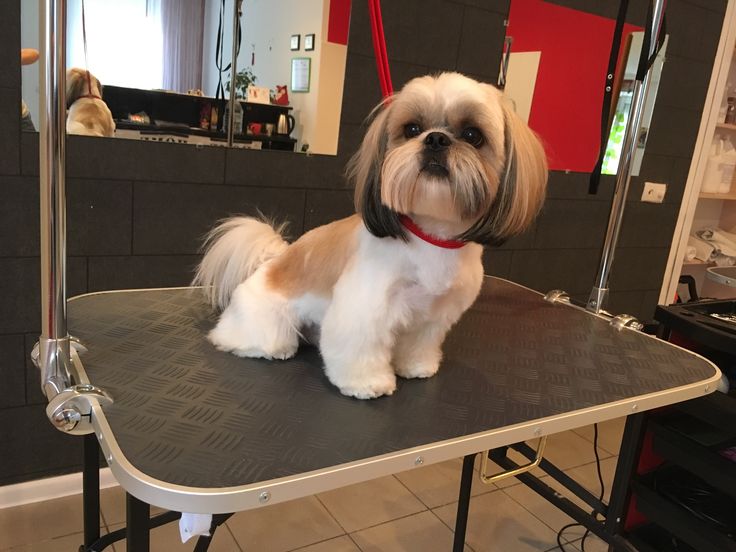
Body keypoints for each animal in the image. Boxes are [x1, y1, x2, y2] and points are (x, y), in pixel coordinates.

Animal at [194, 74, 548, 402]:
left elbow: (419, 343)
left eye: (473, 135)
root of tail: (272, 261)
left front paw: (416, 366)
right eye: (412, 129)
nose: (436, 139)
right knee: (249, 338)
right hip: (266, 321)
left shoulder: (434, 315)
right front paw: (366, 384)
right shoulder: (365, 305)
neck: (431, 237)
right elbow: (360, 345)